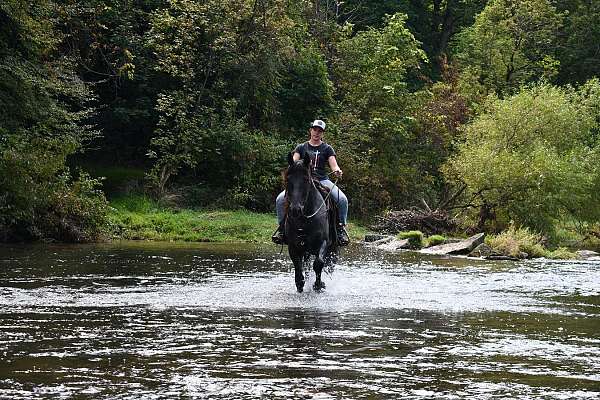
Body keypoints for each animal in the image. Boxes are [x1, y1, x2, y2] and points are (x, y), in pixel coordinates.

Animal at [282, 152, 338, 292]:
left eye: (306, 179)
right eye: (288, 179)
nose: (295, 209)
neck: (304, 219)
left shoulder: (323, 242)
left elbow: (318, 263)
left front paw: (319, 285)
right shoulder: (294, 246)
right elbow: (298, 264)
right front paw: (300, 283)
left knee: (328, 265)